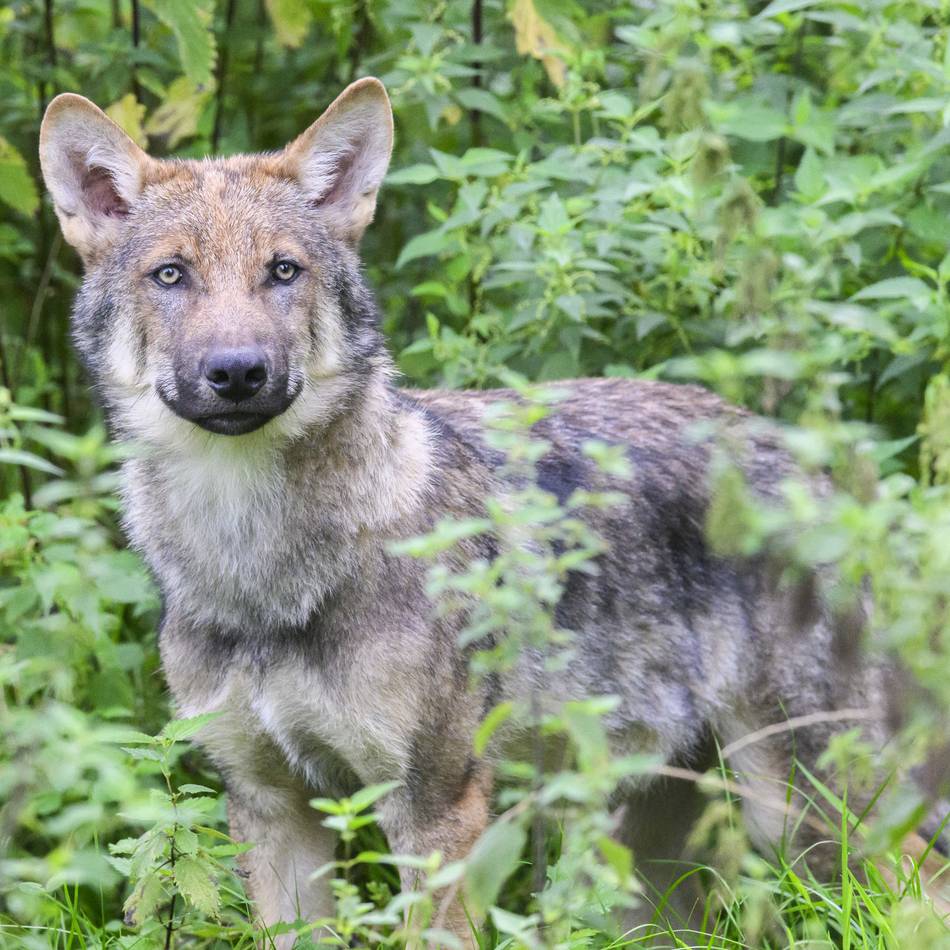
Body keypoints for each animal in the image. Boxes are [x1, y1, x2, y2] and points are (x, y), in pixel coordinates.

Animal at [39, 79, 936, 945]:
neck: (258, 566)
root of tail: (815, 462)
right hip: (651, 867)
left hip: (807, 812)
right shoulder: (271, 807)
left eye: (283, 272)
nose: (237, 371)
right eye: (172, 275)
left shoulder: (436, 808)